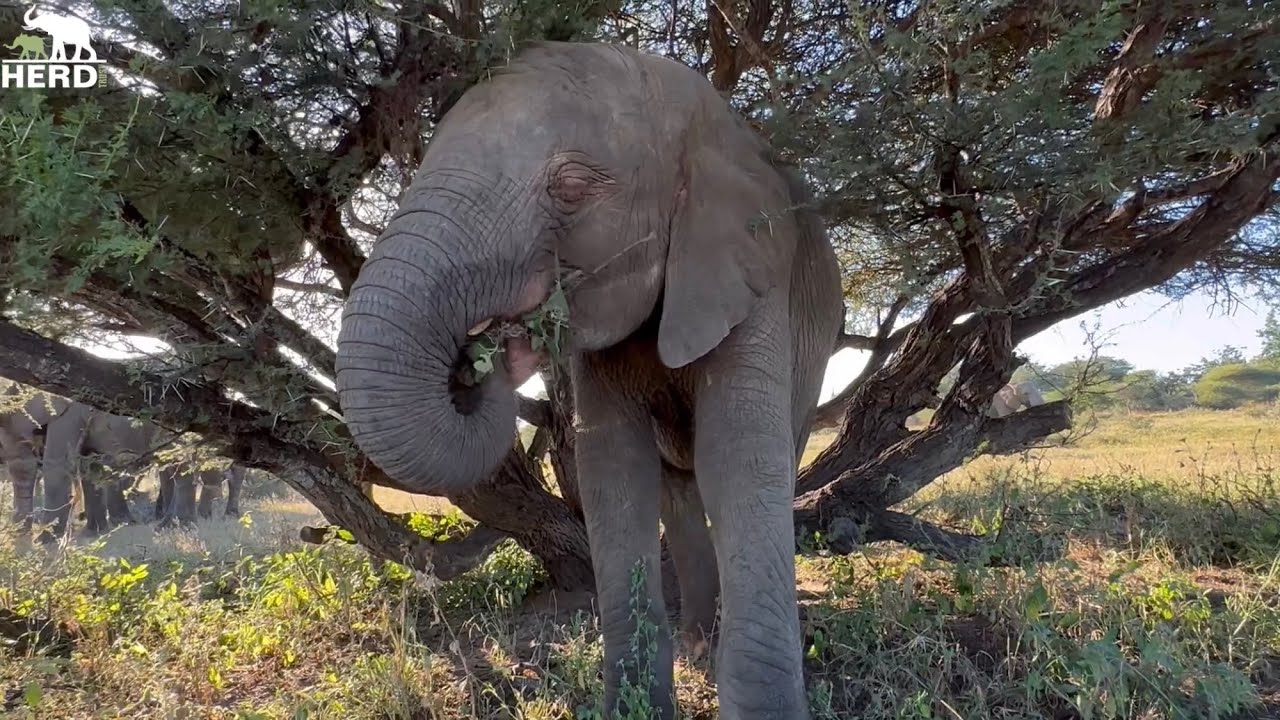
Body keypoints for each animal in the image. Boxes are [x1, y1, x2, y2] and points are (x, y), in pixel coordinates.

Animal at [333, 41, 843, 719]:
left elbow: (738, 456)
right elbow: (611, 467)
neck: (704, 118)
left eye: (572, 188)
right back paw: (697, 646)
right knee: (676, 491)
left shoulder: (753, 274)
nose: (488, 351)